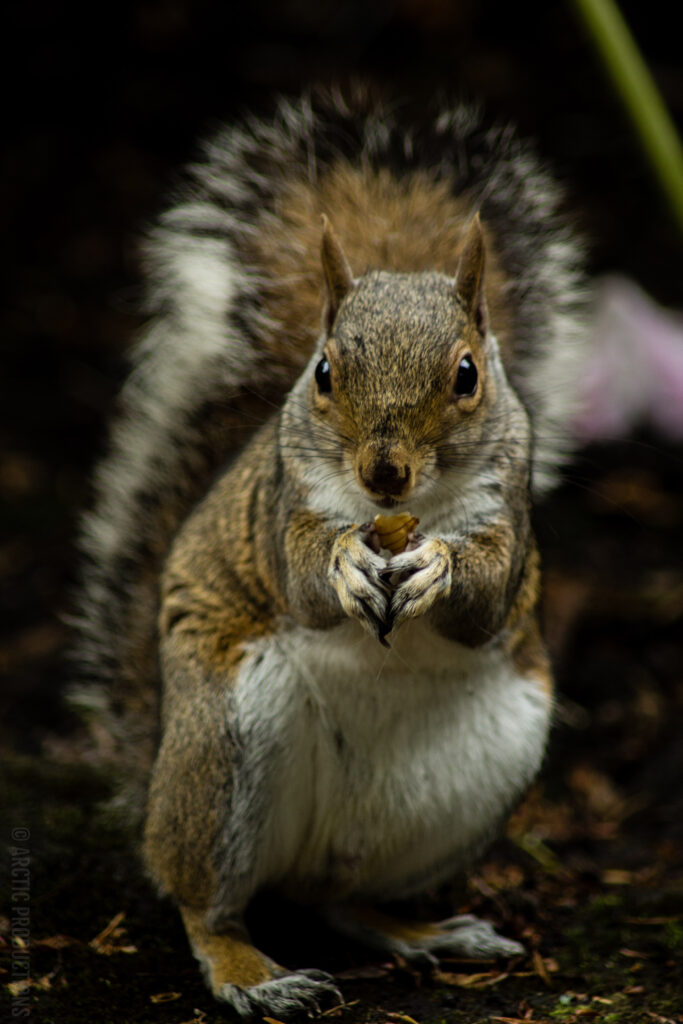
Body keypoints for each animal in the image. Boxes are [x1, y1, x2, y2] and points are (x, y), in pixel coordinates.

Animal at [74, 87, 589, 1019]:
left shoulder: (509, 510)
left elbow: (488, 594)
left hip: (478, 778)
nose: (383, 473)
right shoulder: (281, 508)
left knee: (342, 898)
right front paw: (346, 565)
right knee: (204, 905)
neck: (400, 513)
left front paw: (437, 567)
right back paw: (252, 974)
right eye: (322, 370)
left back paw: (423, 932)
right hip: (223, 743)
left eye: (467, 374)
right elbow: (302, 578)